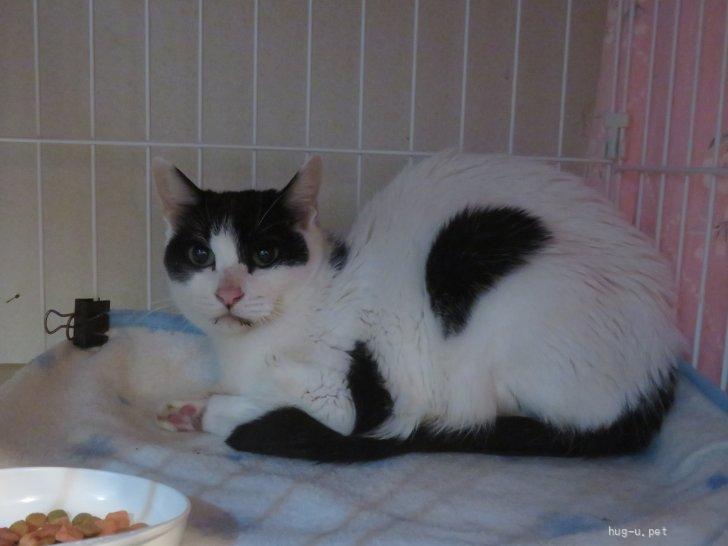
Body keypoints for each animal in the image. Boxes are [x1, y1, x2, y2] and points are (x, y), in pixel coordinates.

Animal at [153, 151, 683, 462]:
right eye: (200, 255)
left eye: (264, 254)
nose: (229, 294)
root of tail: (661, 369)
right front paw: (189, 407)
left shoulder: (346, 396)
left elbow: (263, 405)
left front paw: (214, 412)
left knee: (479, 415)